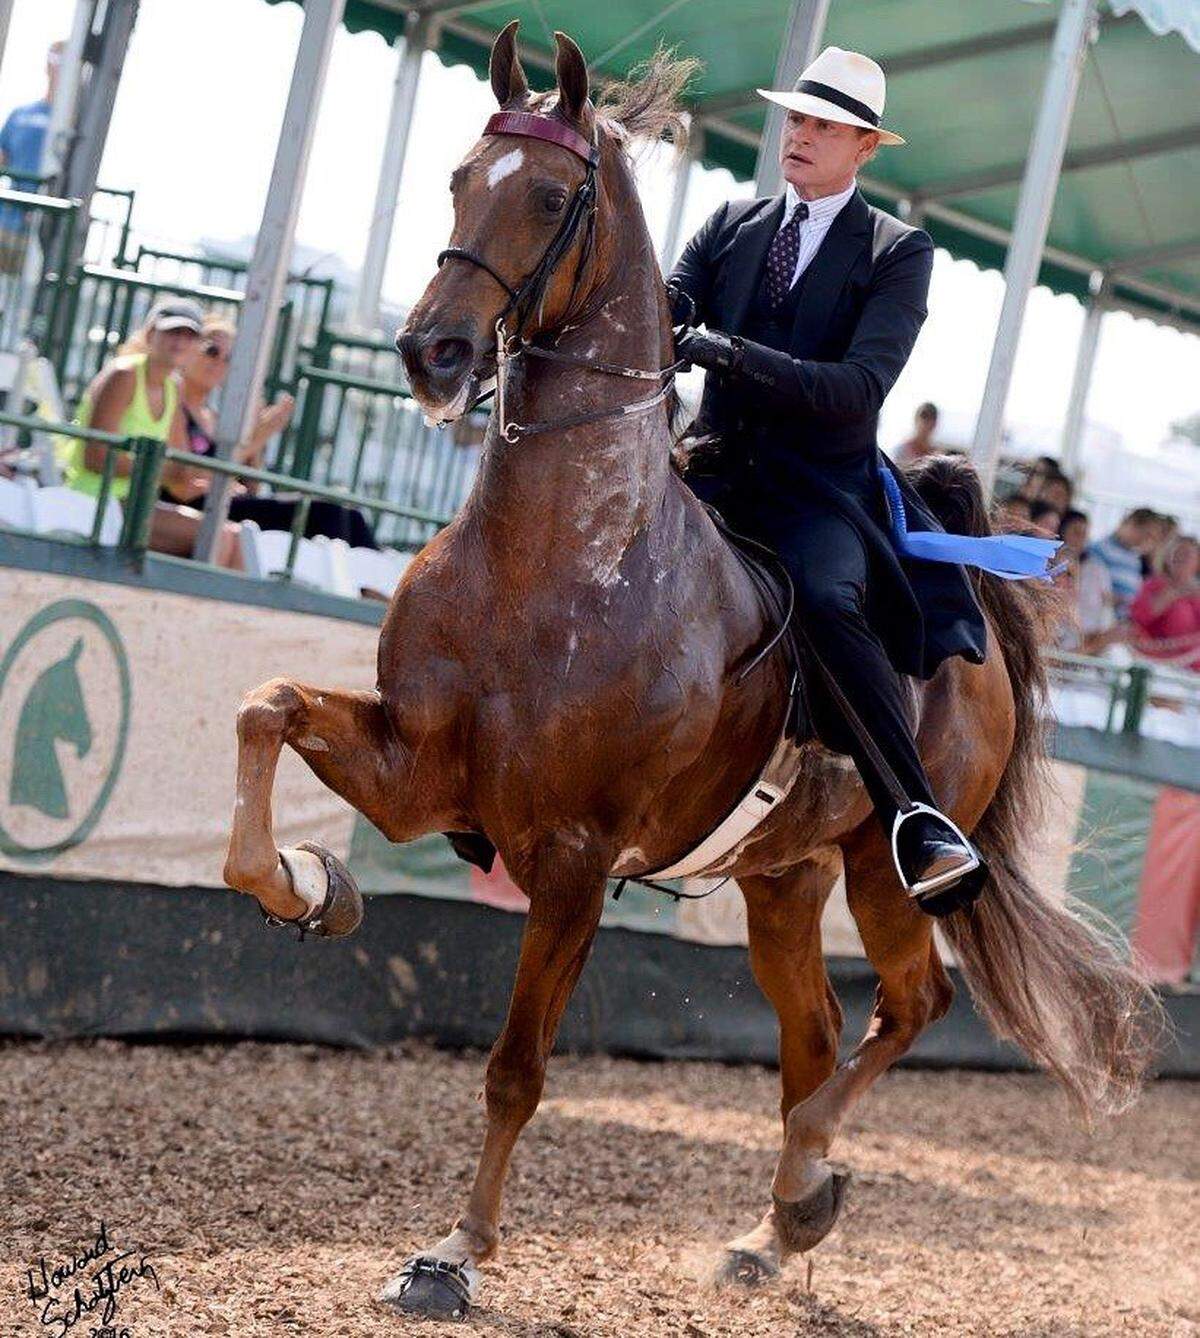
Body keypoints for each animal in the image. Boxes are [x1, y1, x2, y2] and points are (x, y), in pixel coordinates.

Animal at [221, 23, 1159, 1320]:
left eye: (552, 197)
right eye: (459, 179)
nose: (432, 352)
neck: (556, 554)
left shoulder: (571, 854)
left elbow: (517, 1066)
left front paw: (453, 1253)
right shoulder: (422, 770)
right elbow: (264, 712)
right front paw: (314, 882)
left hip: (884, 863)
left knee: (910, 1003)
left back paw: (808, 1176)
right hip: (782, 879)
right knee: (814, 1032)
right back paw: (773, 1227)